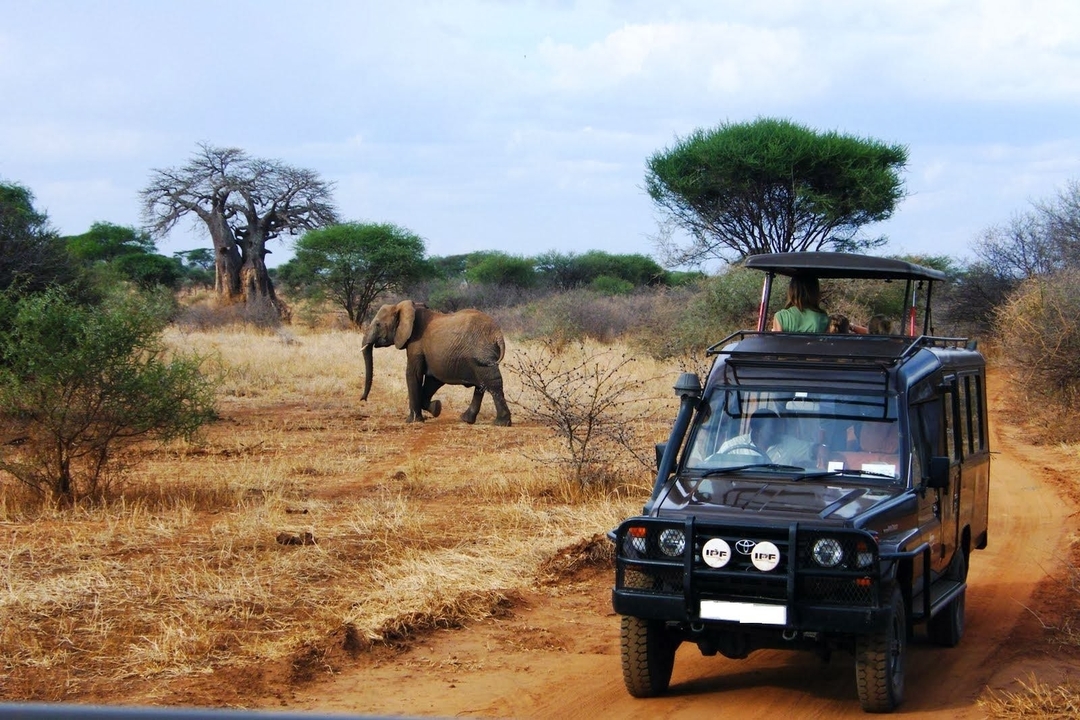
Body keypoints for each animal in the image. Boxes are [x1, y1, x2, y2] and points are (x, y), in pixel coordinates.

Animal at [360, 300, 512, 426]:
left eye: (378, 324)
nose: (363, 400)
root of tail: (498, 334)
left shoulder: (416, 344)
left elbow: (413, 374)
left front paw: (412, 421)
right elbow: (432, 380)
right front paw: (436, 408)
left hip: (482, 353)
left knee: (492, 383)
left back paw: (501, 423)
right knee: (481, 384)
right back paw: (466, 419)